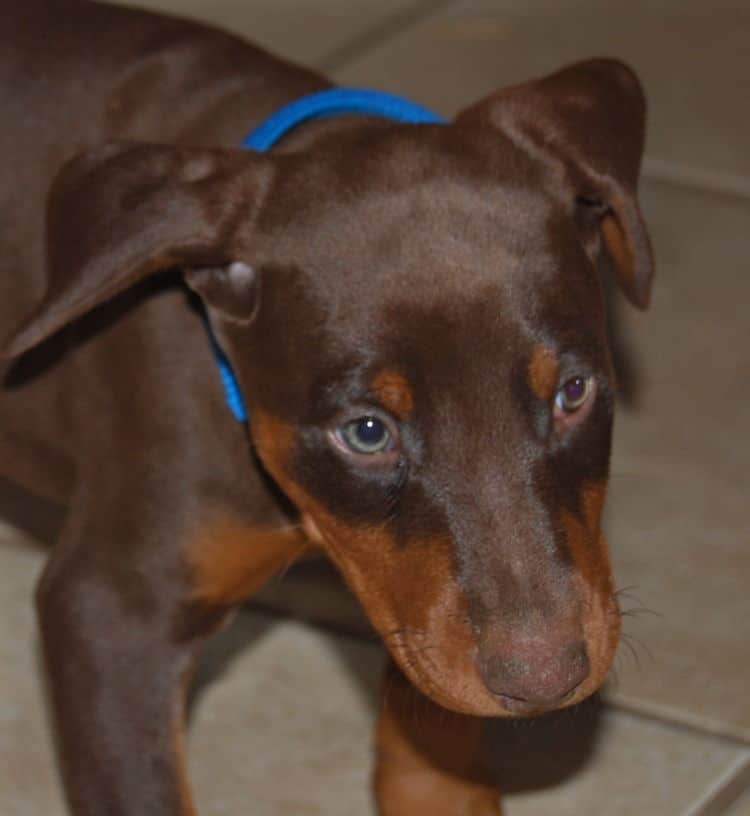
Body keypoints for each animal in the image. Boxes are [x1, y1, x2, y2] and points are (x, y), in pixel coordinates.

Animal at [0, 1, 652, 816]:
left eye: (573, 392)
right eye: (367, 432)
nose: (544, 680)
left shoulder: (409, 594)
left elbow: (427, 682)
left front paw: (441, 788)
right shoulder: (110, 614)